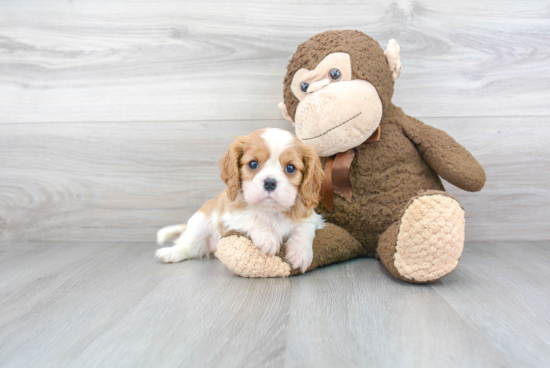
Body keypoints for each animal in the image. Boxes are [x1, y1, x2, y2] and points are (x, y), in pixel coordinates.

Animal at [155, 128, 326, 272]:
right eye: (253, 164)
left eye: (290, 168)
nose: (270, 182)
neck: (271, 211)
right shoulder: (230, 215)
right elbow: (253, 217)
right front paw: (267, 237)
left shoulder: (312, 217)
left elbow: (303, 228)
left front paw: (300, 253)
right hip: (199, 224)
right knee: (189, 246)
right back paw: (172, 253)